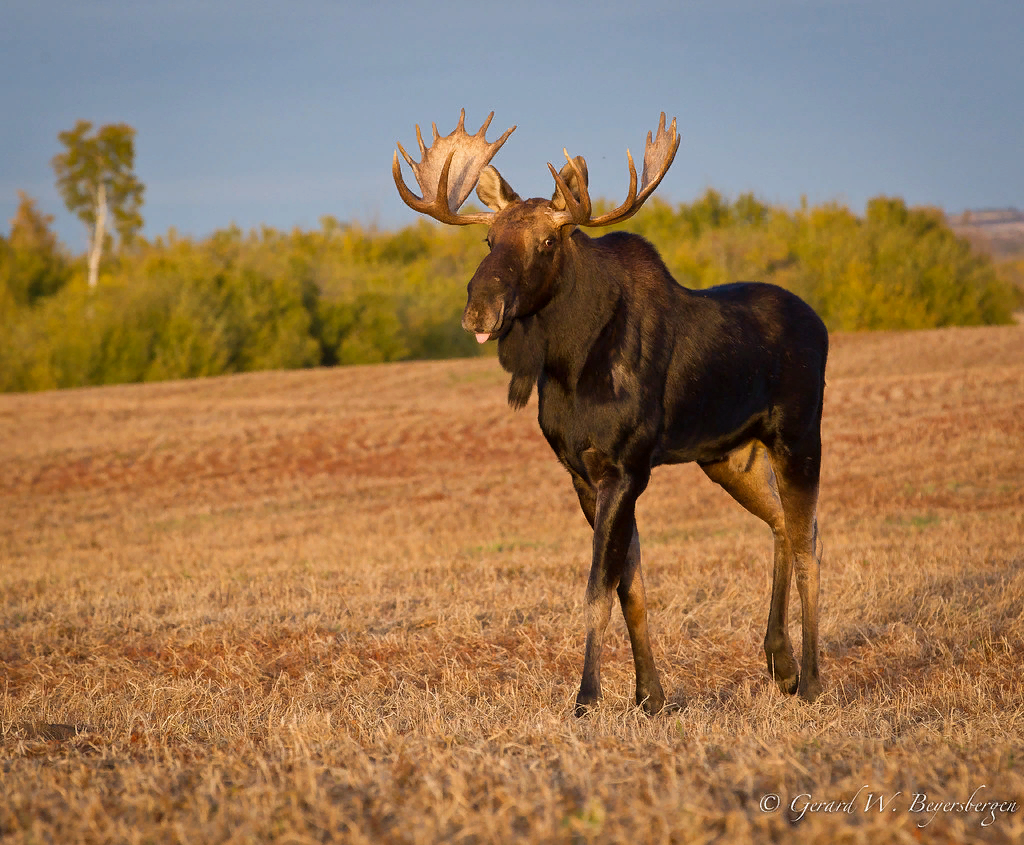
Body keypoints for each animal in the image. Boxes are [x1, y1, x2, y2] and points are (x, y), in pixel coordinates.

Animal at [391, 107, 831, 712]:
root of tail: (822, 325)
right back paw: (779, 663)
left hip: (799, 435)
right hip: (729, 456)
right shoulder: (581, 471)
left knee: (810, 539)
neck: (570, 366)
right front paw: (650, 696)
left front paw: (587, 697)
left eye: (548, 241)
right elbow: (631, 587)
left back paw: (810, 680)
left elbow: (598, 587)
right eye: (488, 237)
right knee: (784, 527)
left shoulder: (626, 467)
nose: (481, 308)